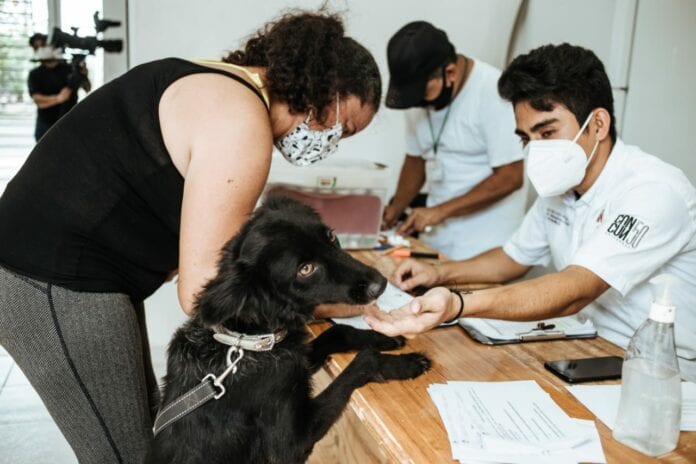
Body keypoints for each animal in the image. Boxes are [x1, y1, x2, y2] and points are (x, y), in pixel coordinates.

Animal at [147, 196, 430, 464]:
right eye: (305, 269)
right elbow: (362, 363)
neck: (248, 339)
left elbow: (338, 332)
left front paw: (382, 337)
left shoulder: (294, 360)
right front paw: (404, 363)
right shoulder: (292, 444)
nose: (380, 285)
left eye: (331, 236)